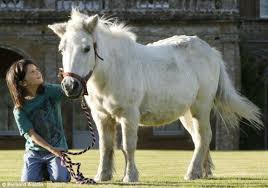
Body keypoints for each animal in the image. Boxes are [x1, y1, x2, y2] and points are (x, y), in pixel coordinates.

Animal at [48, 10, 262, 182]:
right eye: (61, 49)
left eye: (86, 48)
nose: (70, 86)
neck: (113, 70)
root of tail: (212, 53)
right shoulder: (101, 116)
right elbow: (105, 147)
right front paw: (102, 176)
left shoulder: (129, 115)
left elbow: (128, 146)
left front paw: (130, 176)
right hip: (186, 113)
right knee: (199, 138)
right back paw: (204, 171)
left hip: (200, 108)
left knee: (204, 136)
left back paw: (192, 173)